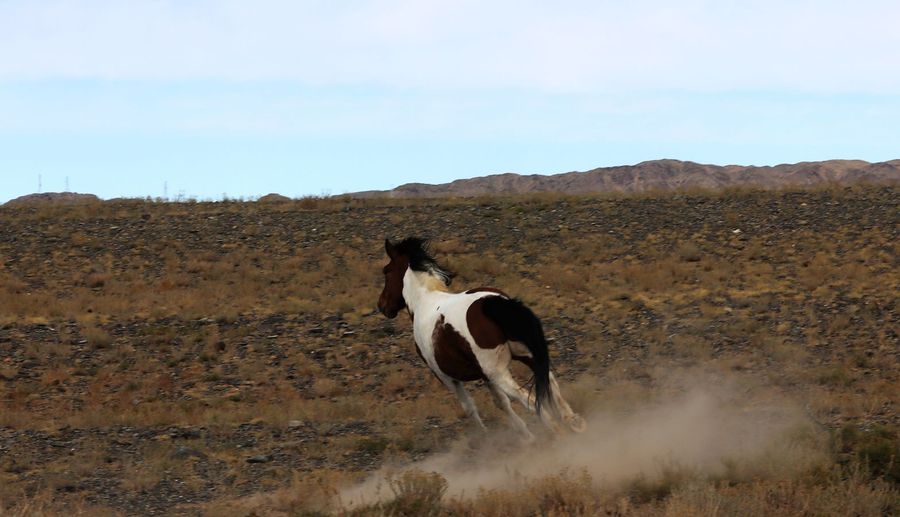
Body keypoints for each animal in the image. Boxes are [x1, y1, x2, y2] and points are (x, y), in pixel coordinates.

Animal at [376, 236, 588, 442]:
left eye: (386, 271)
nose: (382, 306)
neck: (425, 301)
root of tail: (492, 303)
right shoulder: (484, 375)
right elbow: (501, 402)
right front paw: (526, 435)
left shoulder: (447, 378)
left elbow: (471, 407)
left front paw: (499, 437)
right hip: (526, 356)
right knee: (550, 381)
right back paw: (573, 422)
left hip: (498, 372)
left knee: (522, 395)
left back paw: (554, 429)